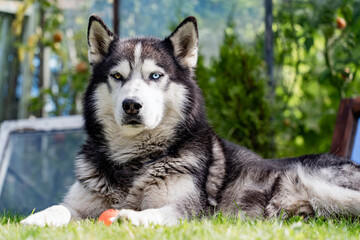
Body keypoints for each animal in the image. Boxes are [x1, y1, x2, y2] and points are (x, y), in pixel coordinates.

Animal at [21, 15, 360, 227]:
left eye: (155, 76)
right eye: (117, 77)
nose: (132, 105)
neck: (134, 162)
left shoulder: (189, 210)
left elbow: (157, 213)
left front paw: (133, 217)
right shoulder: (80, 205)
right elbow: (58, 207)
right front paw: (35, 219)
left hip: (317, 182)